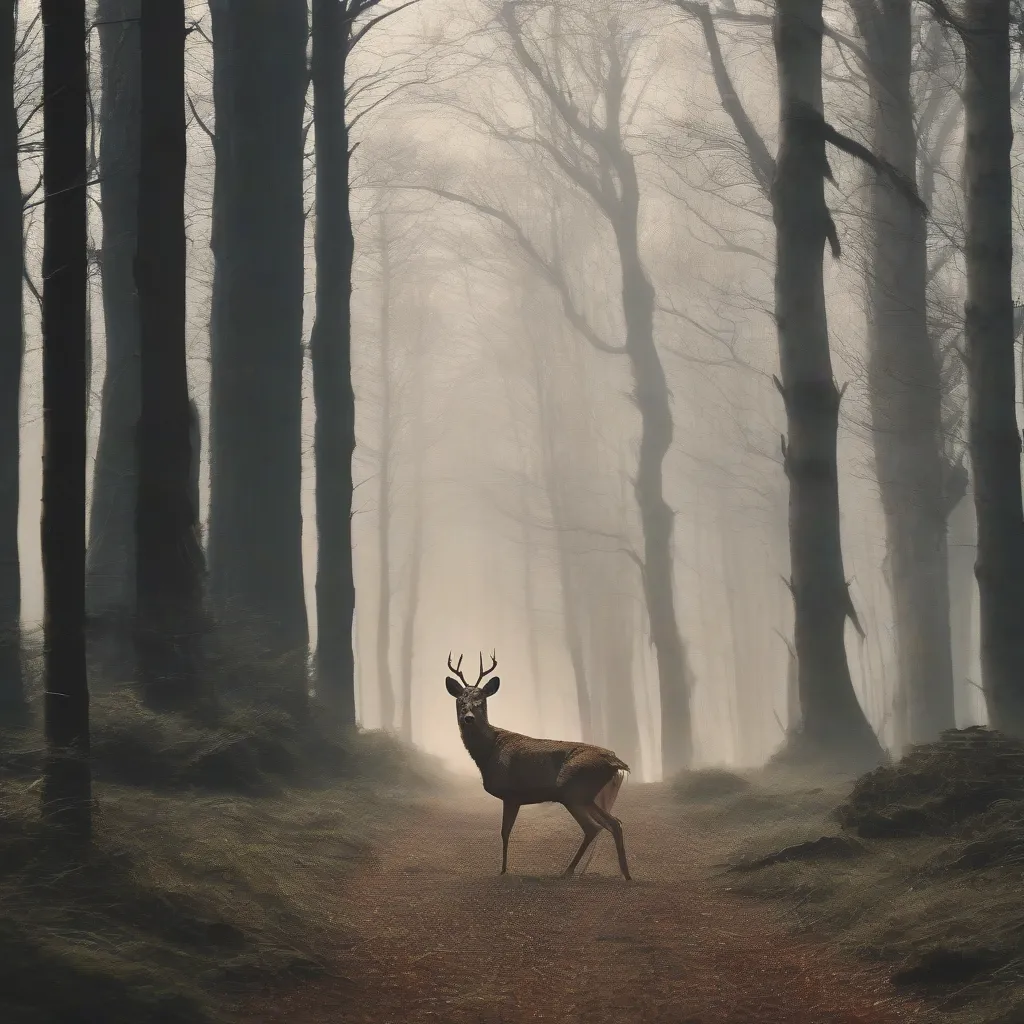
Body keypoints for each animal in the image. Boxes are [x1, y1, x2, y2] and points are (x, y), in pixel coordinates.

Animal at [446, 655, 630, 880]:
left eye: (480, 703)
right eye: (460, 702)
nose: (468, 718)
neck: (487, 753)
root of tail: (617, 763)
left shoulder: (511, 793)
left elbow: (504, 832)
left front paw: (503, 870)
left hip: (574, 791)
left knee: (593, 827)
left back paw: (568, 871)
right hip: (589, 795)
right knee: (614, 823)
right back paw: (625, 874)